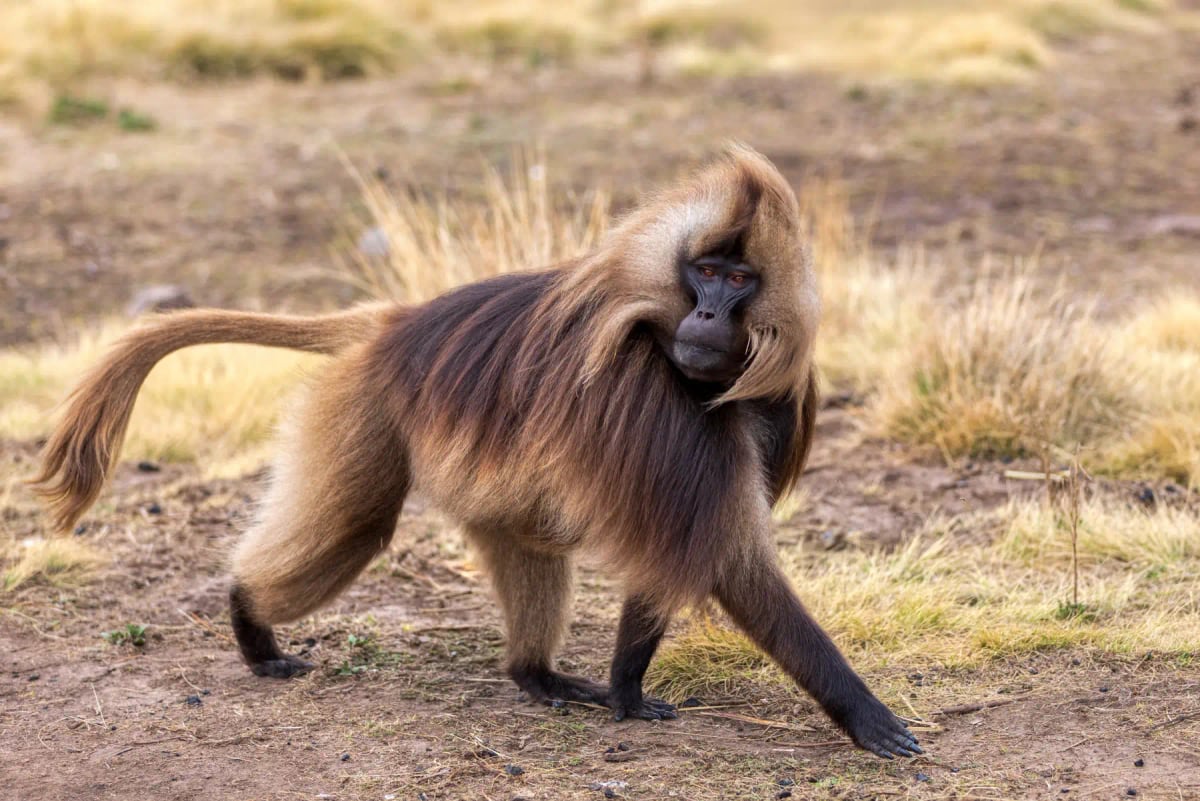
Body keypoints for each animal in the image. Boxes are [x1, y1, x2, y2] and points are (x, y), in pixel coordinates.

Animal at [31, 146, 920, 759]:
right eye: (702, 270)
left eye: (738, 278)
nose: (703, 317)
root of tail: (393, 321)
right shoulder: (664, 404)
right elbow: (725, 556)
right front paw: (863, 711)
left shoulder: (765, 403)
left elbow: (674, 549)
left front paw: (624, 687)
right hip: (367, 410)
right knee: (357, 526)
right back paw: (250, 622)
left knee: (524, 540)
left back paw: (537, 676)